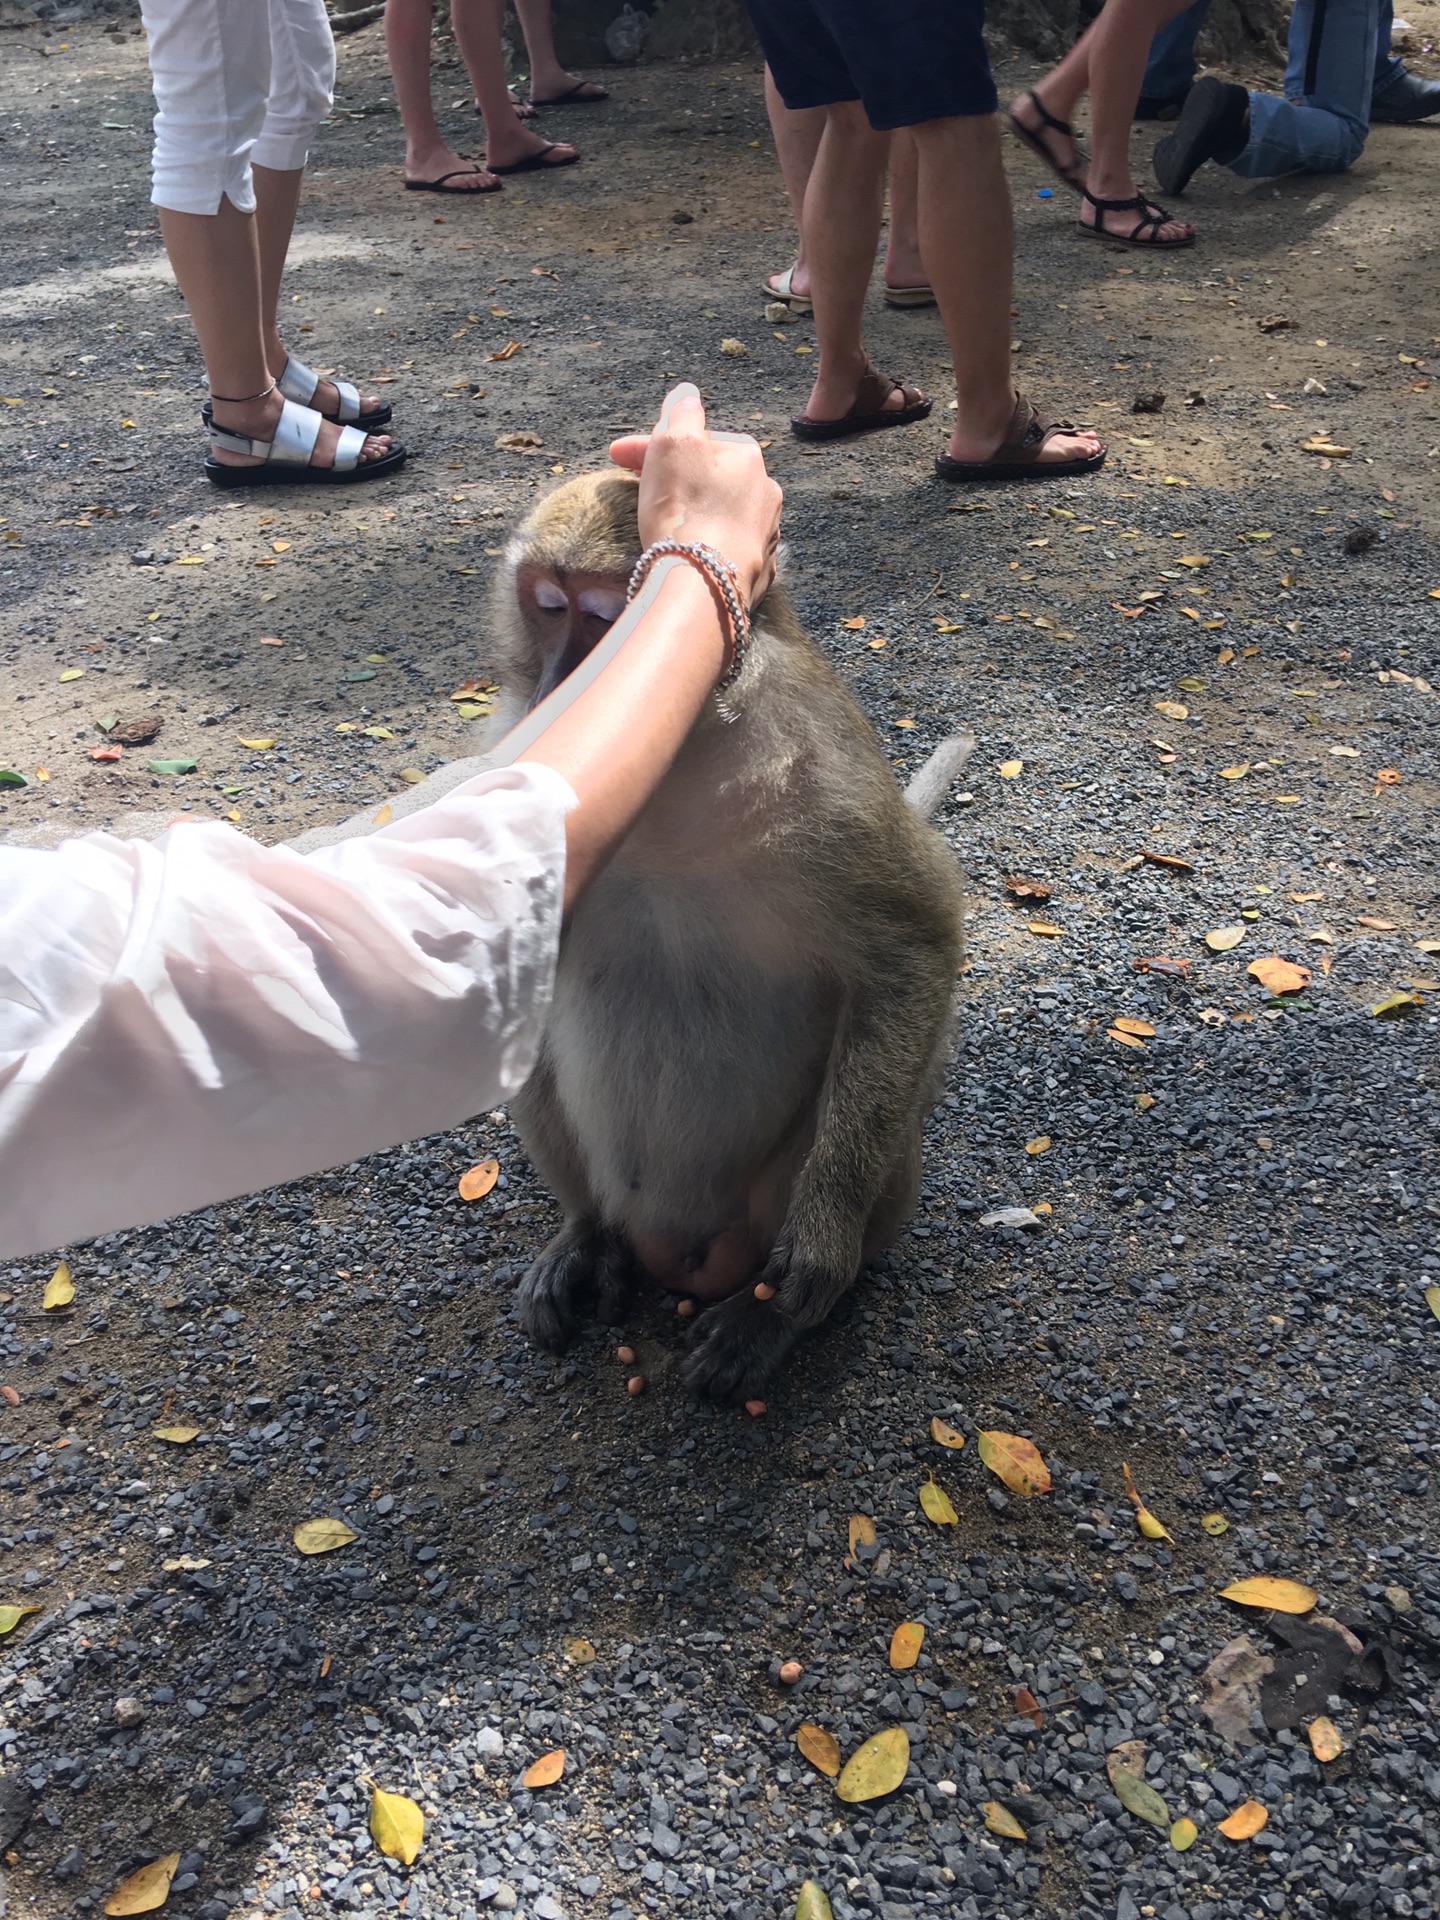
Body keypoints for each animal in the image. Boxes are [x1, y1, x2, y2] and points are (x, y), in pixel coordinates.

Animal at [485, 464, 971, 1397]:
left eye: (604, 617)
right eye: (549, 607)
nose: (559, 692)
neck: (676, 772)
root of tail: (676, 1254)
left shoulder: (825, 774)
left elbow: (912, 947)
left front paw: (822, 1243)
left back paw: (765, 1317)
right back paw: (588, 1234)